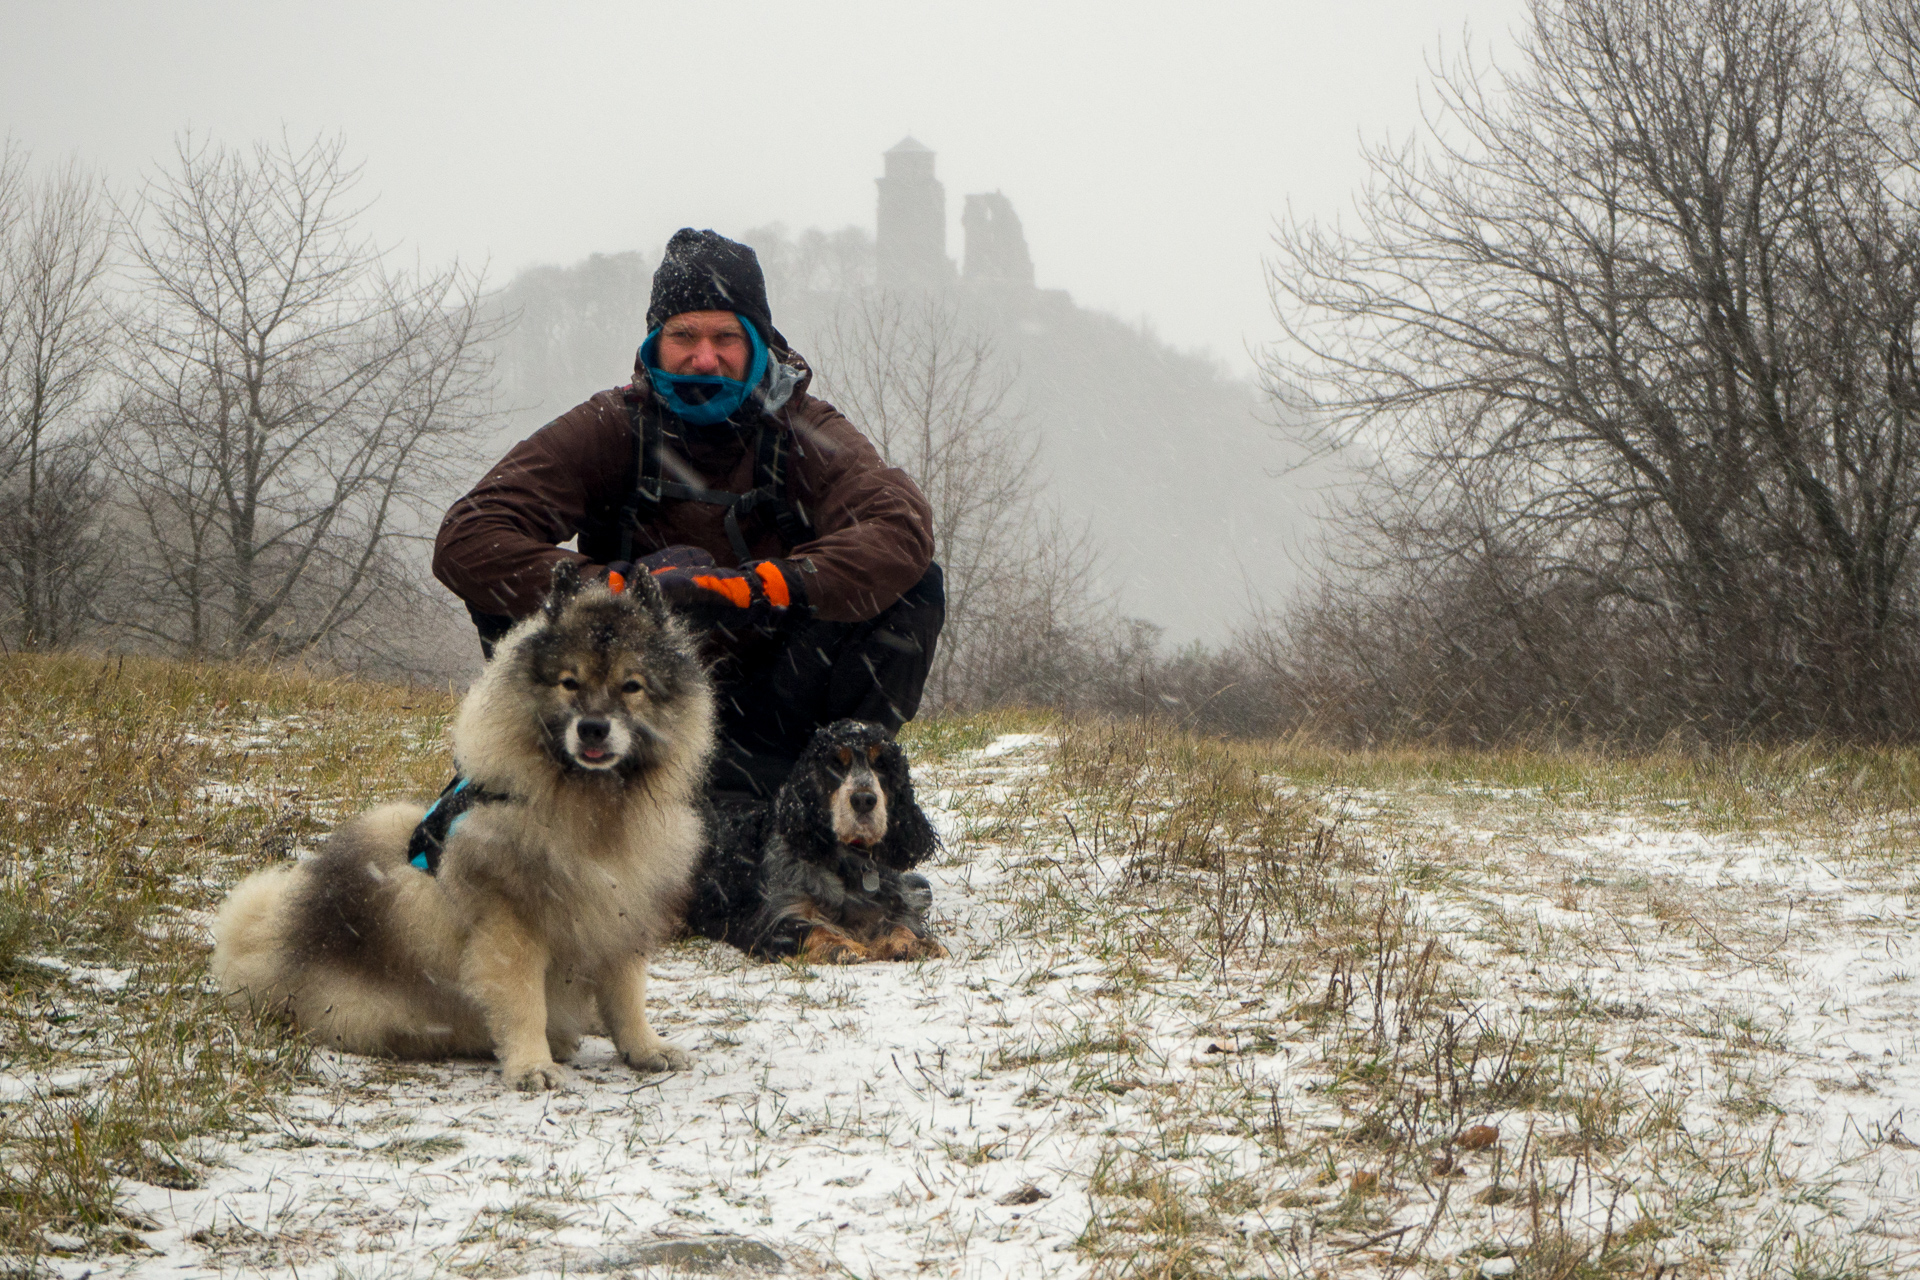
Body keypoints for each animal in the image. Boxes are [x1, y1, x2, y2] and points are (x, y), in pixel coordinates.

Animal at [210, 564, 718, 1090]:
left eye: (631, 685)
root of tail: (278, 955)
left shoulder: (622, 911)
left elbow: (626, 995)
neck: (590, 803)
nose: (593, 727)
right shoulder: (512, 923)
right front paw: (531, 1065)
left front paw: (644, 1048)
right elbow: (523, 1002)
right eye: (569, 682)